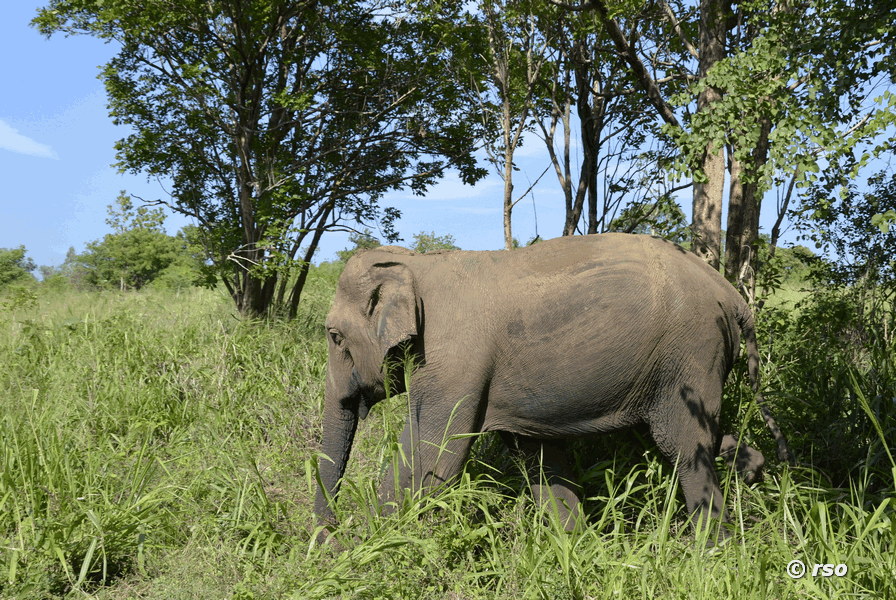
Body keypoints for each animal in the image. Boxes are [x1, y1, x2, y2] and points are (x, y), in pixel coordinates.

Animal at [314, 233, 788, 535]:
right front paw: (575, 548)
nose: (330, 537)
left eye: (334, 337)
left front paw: (371, 546)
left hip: (691, 350)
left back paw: (711, 549)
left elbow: (435, 458)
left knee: (684, 448)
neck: (415, 263)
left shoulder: (454, 361)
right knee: (703, 437)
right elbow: (538, 457)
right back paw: (753, 468)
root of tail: (735, 298)